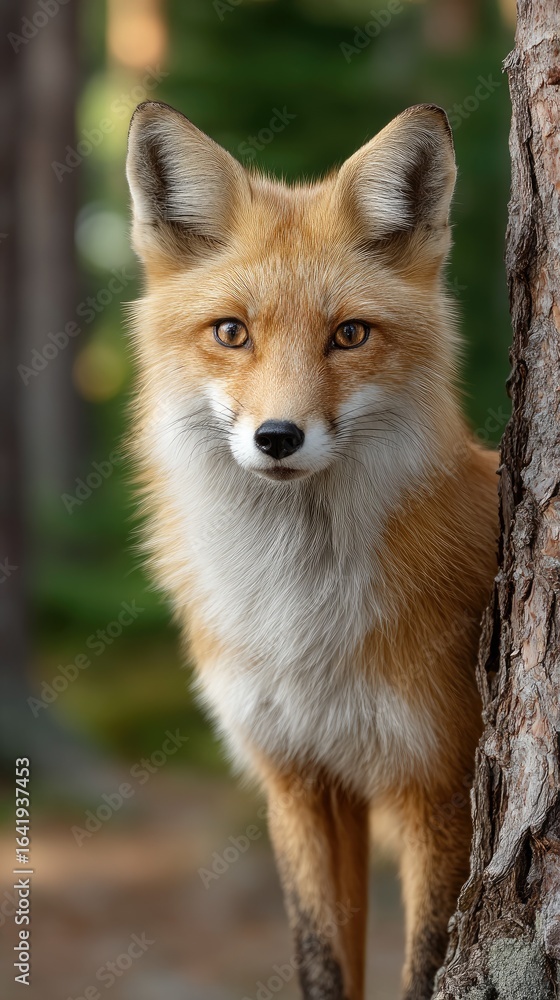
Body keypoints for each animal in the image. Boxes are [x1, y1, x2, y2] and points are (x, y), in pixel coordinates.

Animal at [125, 100, 499, 1000]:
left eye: (349, 335)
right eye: (232, 333)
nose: (278, 437)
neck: (299, 619)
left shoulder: (436, 784)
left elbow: (425, 963)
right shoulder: (298, 779)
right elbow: (321, 961)